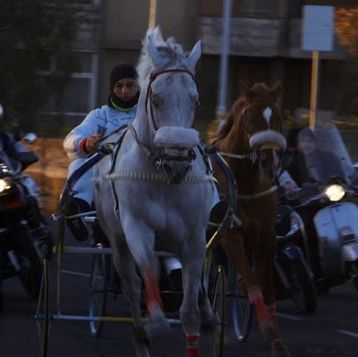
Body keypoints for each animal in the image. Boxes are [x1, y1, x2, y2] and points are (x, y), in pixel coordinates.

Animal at [92, 27, 217, 356]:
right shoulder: (136, 227)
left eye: (195, 100)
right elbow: (148, 280)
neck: (162, 178)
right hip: (116, 238)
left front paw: (202, 317)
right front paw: (151, 328)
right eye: (157, 98)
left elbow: (190, 313)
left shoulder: (194, 235)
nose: (178, 158)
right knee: (131, 283)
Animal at [208, 82, 290, 354]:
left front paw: (277, 341)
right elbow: (254, 284)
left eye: (277, 120)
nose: (269, 163)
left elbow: (268, 289)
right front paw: (268, 331)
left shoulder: (266, 234)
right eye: (251, 120)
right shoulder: (229, 235)